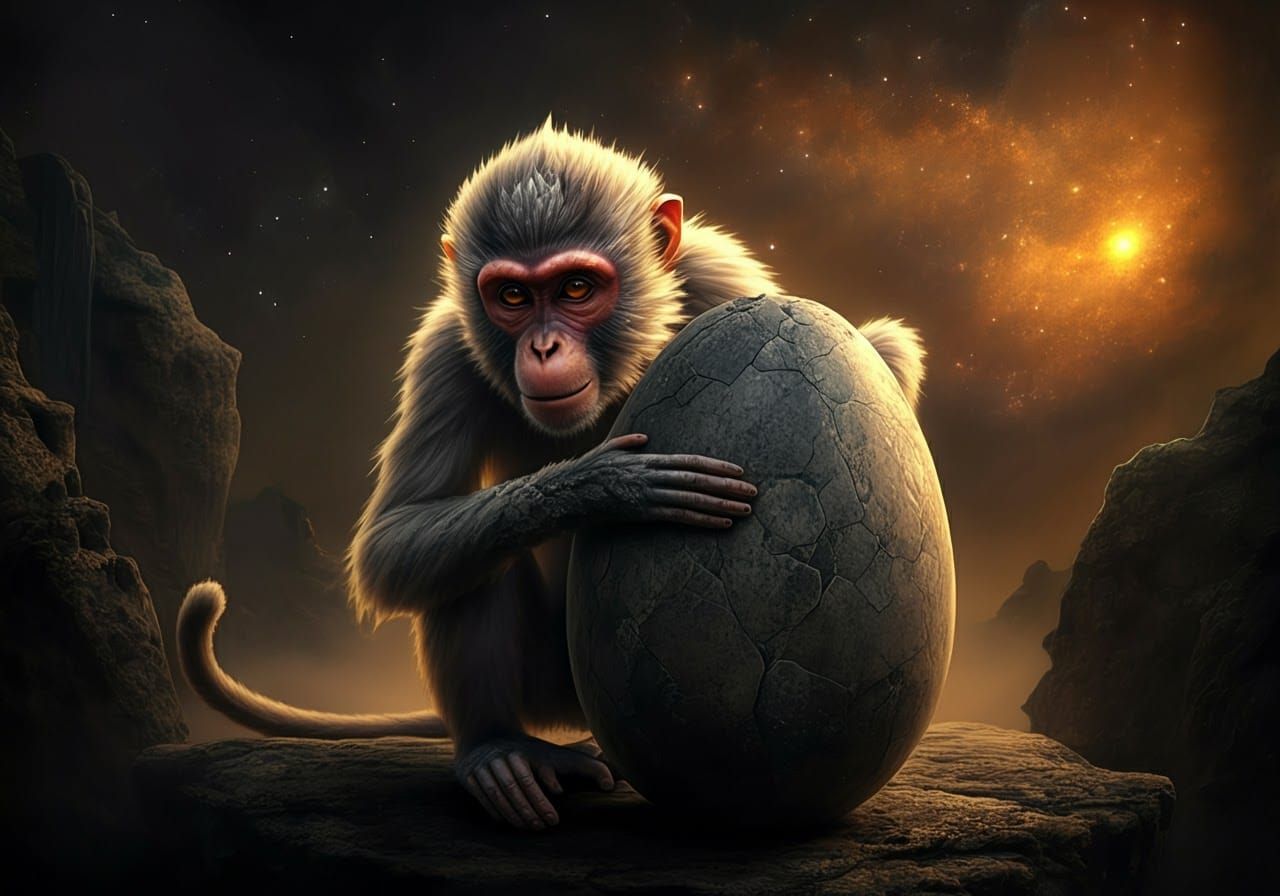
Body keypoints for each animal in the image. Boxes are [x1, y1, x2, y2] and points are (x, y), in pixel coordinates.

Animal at [178, 118, 927, 831]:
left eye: (575, 288)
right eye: (512, 295)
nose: (543, 347)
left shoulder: (725, 280)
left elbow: (875, 354)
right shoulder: (446, 349)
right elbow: (393, 539)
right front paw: (603, 485)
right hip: (545, 688)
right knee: (464, 562)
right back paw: (499, 752)